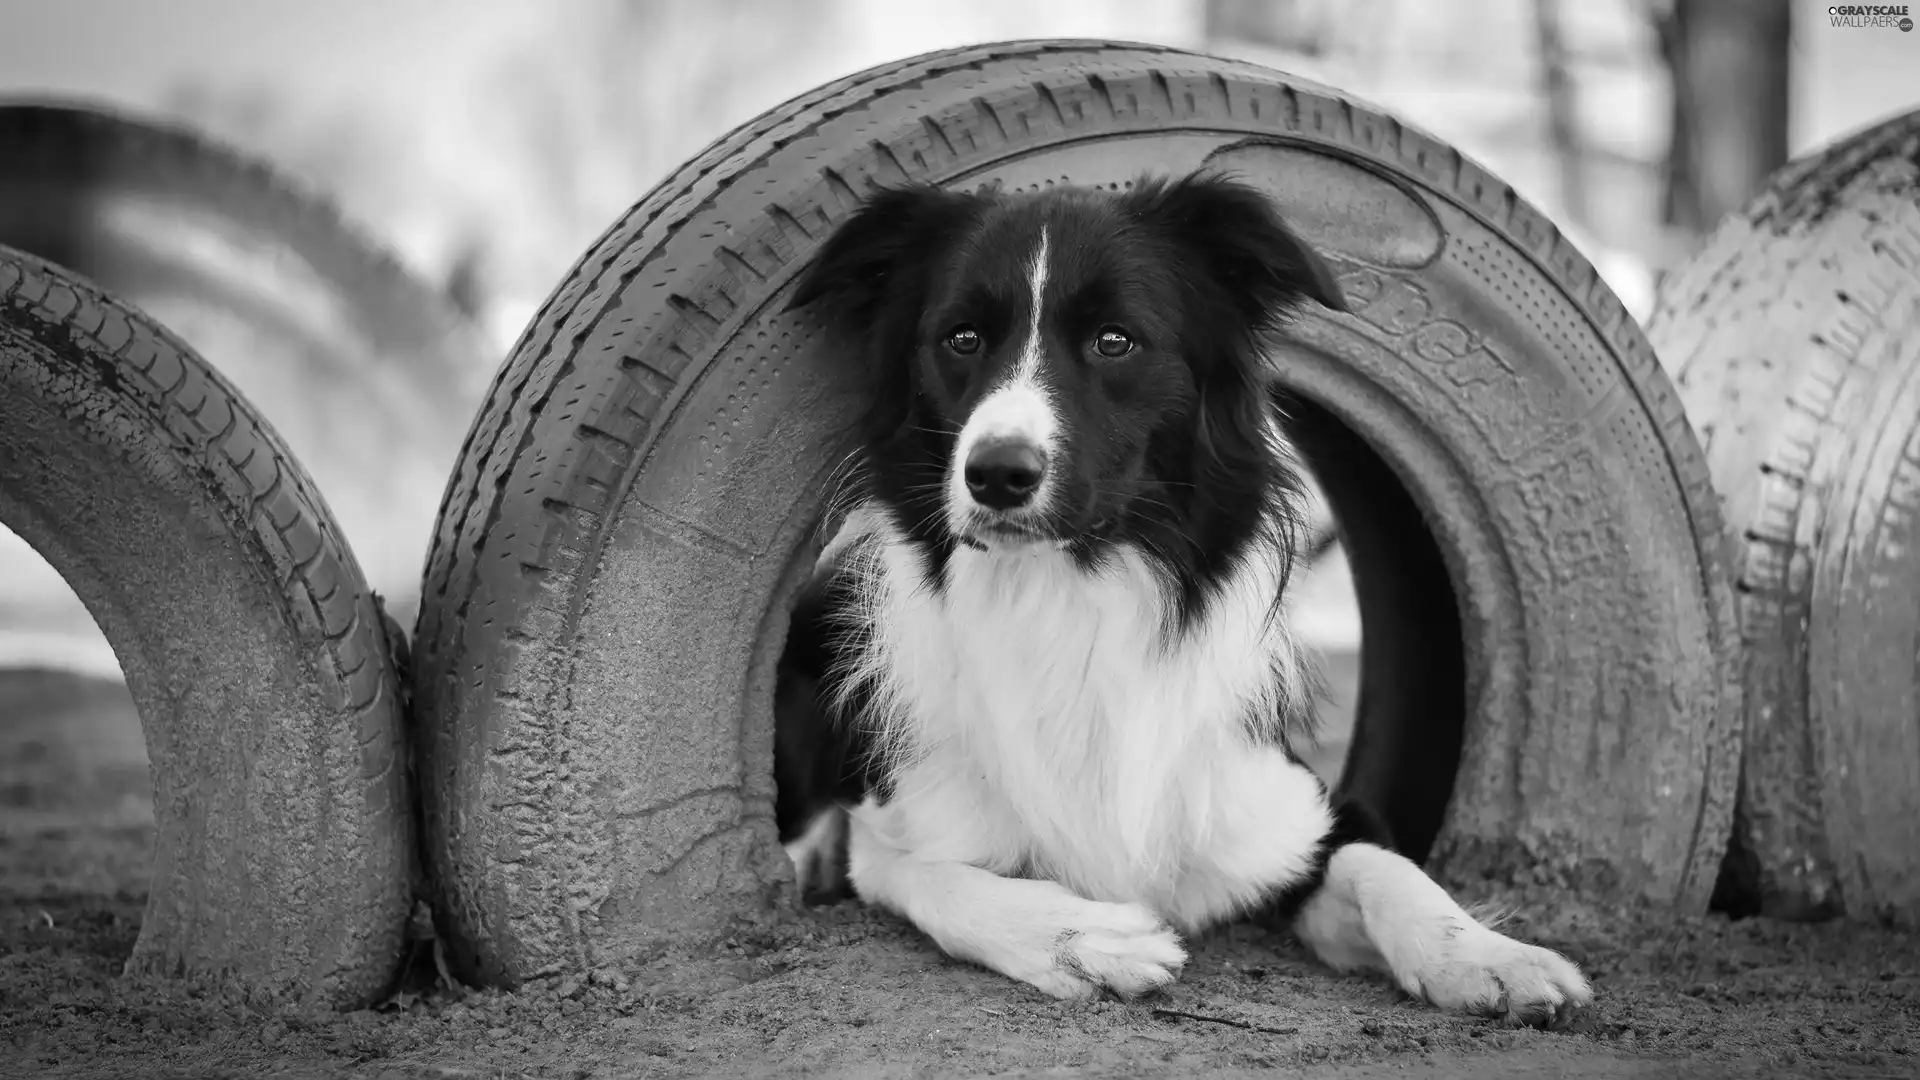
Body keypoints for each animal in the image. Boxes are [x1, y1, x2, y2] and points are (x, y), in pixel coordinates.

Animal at [771, 171, 1597, 1022]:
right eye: (962, 339)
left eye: (1115, 341)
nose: (997, 473)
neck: (1070, 597)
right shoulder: (895, 826)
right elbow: (935, 879)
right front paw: (1088, 937)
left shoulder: (1295, 814)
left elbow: (1387, 867)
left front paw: (1489, 956)